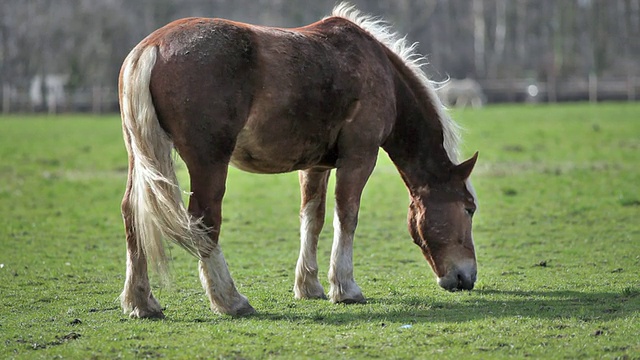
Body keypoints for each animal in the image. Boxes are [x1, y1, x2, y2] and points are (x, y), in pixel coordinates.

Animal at [117, 2, 478, 318]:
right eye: (469, 209)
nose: (467, 277)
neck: (379, 69)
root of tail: (153, 46)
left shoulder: (315, 165)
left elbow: (312, 218)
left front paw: (309, 285)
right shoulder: (359, 157)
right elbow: (346, 216)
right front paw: (345, 287)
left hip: (141, 158)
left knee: (132, 213)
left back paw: (141, 301)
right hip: (209, 163)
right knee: (204, 220)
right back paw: (230, 300)